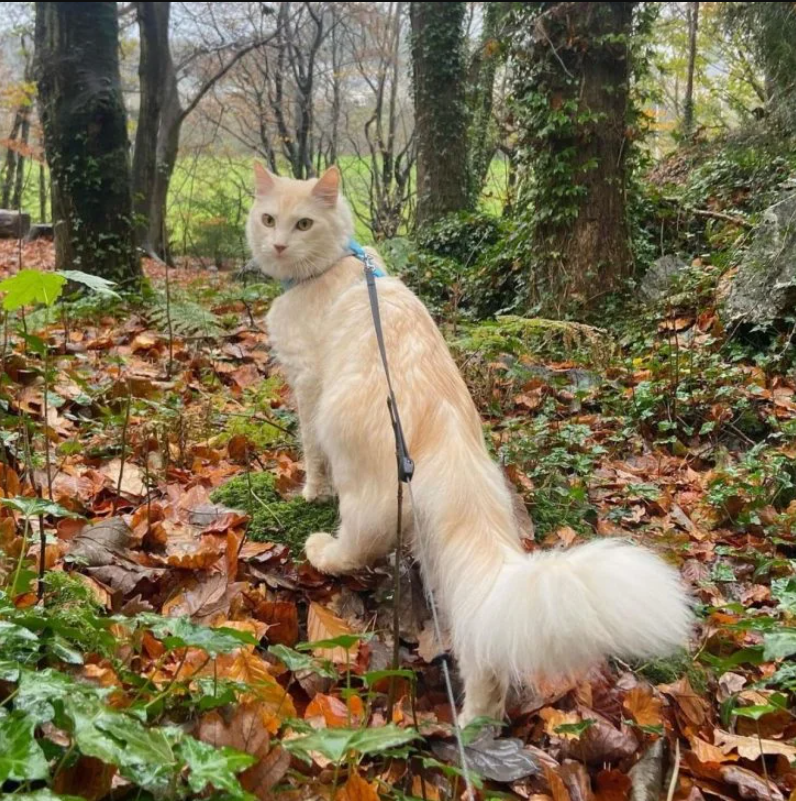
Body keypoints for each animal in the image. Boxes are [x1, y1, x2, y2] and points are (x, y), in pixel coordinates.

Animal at [247, 164, 692, 724]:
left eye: (302, 223)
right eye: (268, 219)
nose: (279, 244)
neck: (339, 263)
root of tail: (452, 445)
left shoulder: (306, 383)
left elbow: (310, 456)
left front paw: (308, 492)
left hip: (360, 477)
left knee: (357, 546)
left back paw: (322, 549)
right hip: (446, 566)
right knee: (482, 656)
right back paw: (476, 726)